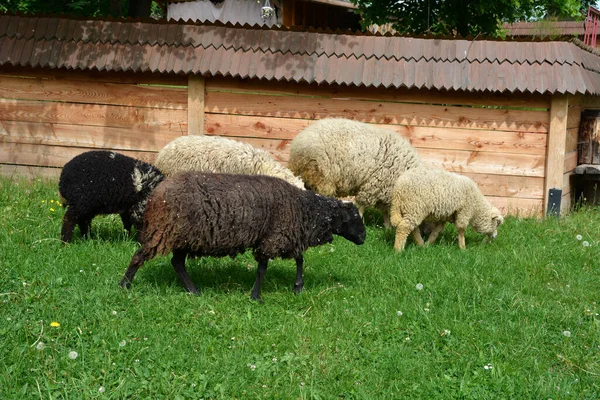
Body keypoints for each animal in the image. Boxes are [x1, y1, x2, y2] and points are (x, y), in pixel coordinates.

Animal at [120, 173, 366, 304]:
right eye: (354, 217)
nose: (364, 237)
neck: (305, 210)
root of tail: (156, 193)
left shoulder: (287, 235)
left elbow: (299, 259)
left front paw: (297, 287)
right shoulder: (273, 238)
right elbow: (263, 269)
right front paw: (256, 296)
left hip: (184, 237)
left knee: (177, 263)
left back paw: (193, 290)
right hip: (165, 230)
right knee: (140, 255)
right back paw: (125, 285)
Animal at [288, 117, 422, 227]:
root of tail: (298, 142)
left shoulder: (383, 190)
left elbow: (384, 210)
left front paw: (387, 227)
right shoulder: (373, 186)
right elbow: (362, 205)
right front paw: (361, 222)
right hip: (321, 176)